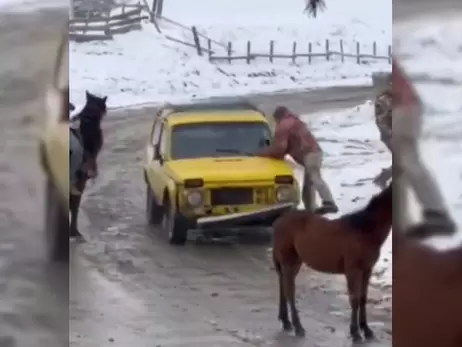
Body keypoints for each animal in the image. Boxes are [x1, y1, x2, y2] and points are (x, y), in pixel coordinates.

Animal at [272, 184, 392, 344]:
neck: (364, 230)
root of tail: (278, 222)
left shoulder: (367, 270)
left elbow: (363, 298)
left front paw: (366, 330)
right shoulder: (353, 271)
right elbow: (354, 299)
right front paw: (355, 334)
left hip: (295, 262)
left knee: (283, 286)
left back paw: (286, 322)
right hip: (288, 261)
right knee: (289, 291)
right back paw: (298, 327)